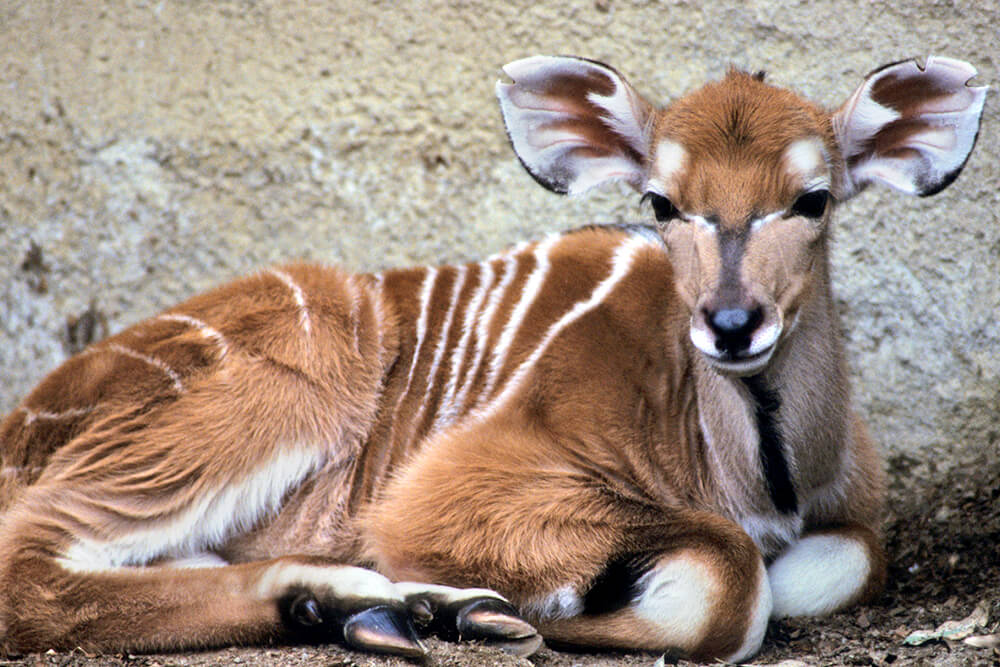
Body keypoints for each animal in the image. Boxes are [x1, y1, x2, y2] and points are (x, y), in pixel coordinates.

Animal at [0, 56, 984, 664]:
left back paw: (406, 607)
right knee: (30, 566)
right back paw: (379, 598)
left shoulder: (851, 520)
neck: (761, 474)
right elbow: (735, 580)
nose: (732, 323)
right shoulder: (445, 490)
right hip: (262, 403)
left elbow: (839, 560)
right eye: (662, 202)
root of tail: (24, 423)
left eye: (813, 198)